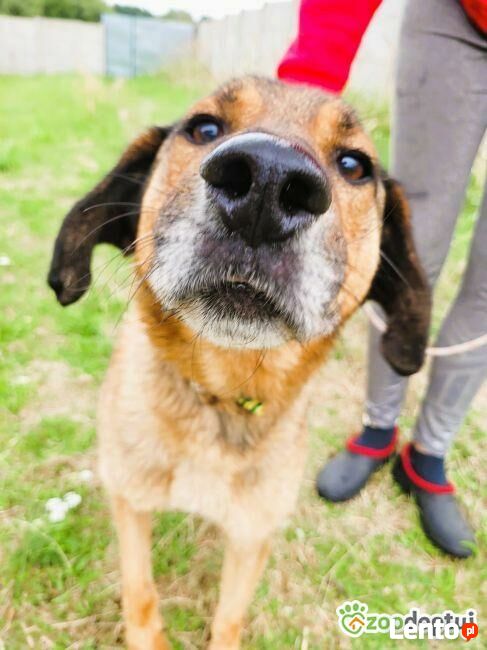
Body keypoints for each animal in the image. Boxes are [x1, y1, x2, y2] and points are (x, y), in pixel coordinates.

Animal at [48, 76, 430, 650]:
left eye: (353, 164)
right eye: (204, 129)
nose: (268, 183)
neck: (220, 395)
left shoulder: (253, 535)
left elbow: (229, 616)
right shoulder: (130, 500)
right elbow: (140, 591)